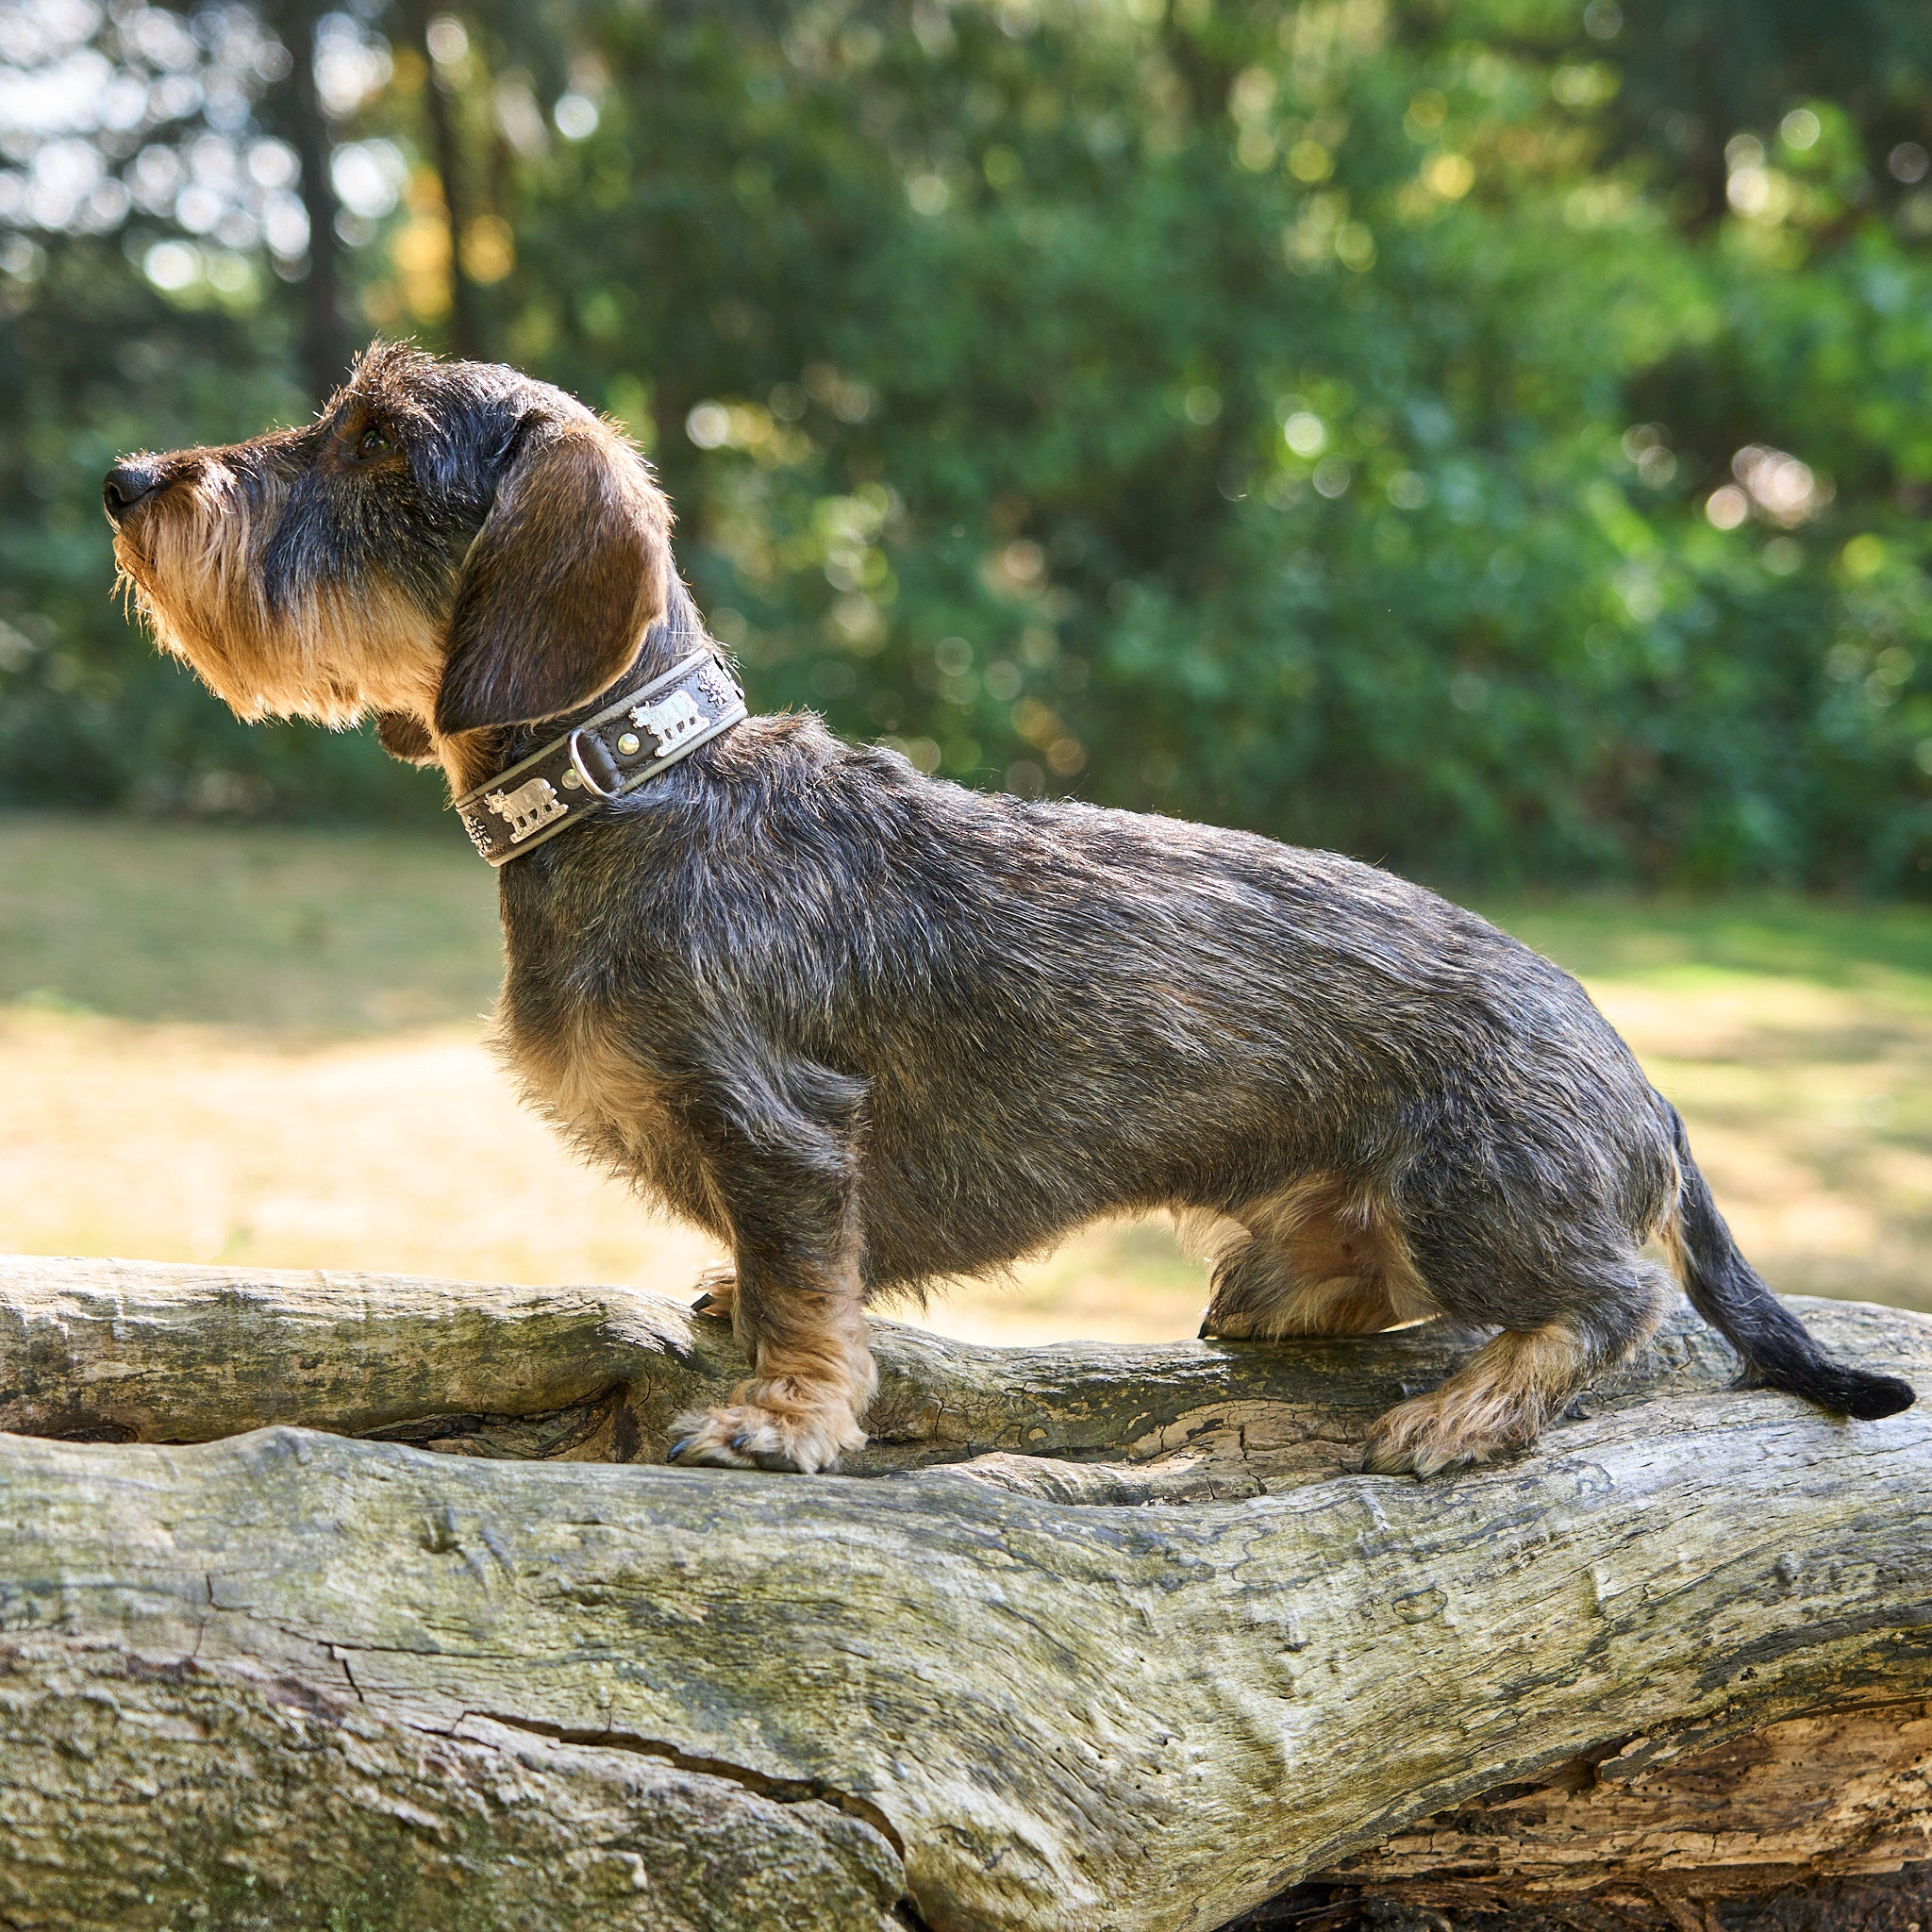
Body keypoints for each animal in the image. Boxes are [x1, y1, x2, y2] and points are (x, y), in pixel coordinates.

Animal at [109, 343, 1916, 1460]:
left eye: (379, 444)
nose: (131, 477)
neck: (643, 787)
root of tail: (1646, 1086)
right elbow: (771, 1270)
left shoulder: (781, 1124)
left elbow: (806, 1272)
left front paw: (784, 1411)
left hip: (1475, 1188)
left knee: (1609, 1299)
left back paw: (1469, 1405)